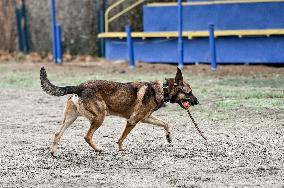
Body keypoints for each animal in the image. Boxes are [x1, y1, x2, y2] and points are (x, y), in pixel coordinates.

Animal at [40, 66, 199, 156]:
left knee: (57, 133)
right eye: (189, 92)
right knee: (87, 136)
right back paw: (98, 149)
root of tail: (79, 87)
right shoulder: (133, 120)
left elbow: (166, 124)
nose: (197, 102)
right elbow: (122, 138)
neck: (162, 89)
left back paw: (54, 152)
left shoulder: (146, 118)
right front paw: (120, 148)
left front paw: (169, 137)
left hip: (71, 118)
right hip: (99, 117)